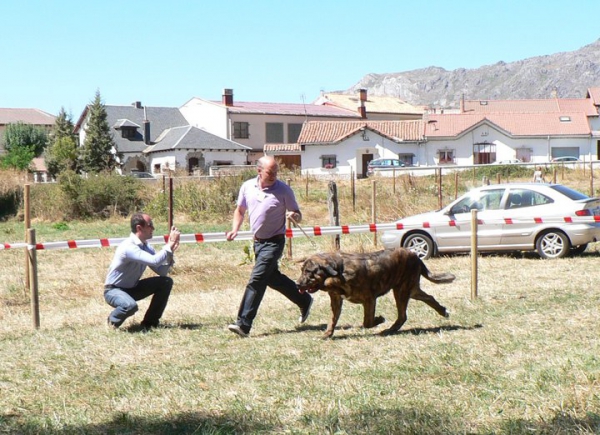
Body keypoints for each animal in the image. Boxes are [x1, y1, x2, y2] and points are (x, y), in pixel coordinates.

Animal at [296, 249, 454, 338]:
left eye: (308, 271)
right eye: (302, 270)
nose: (297, 284)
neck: (340, 269)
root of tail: (416, 256)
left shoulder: (369, 299)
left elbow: (367, 322)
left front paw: (379, 319)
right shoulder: (336, 300)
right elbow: (333, 320)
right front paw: (328, 334)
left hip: (402, 290)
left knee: (403, 315)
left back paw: (389, 330)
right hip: (410, 290)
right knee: (428, 298)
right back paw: (442, 311)